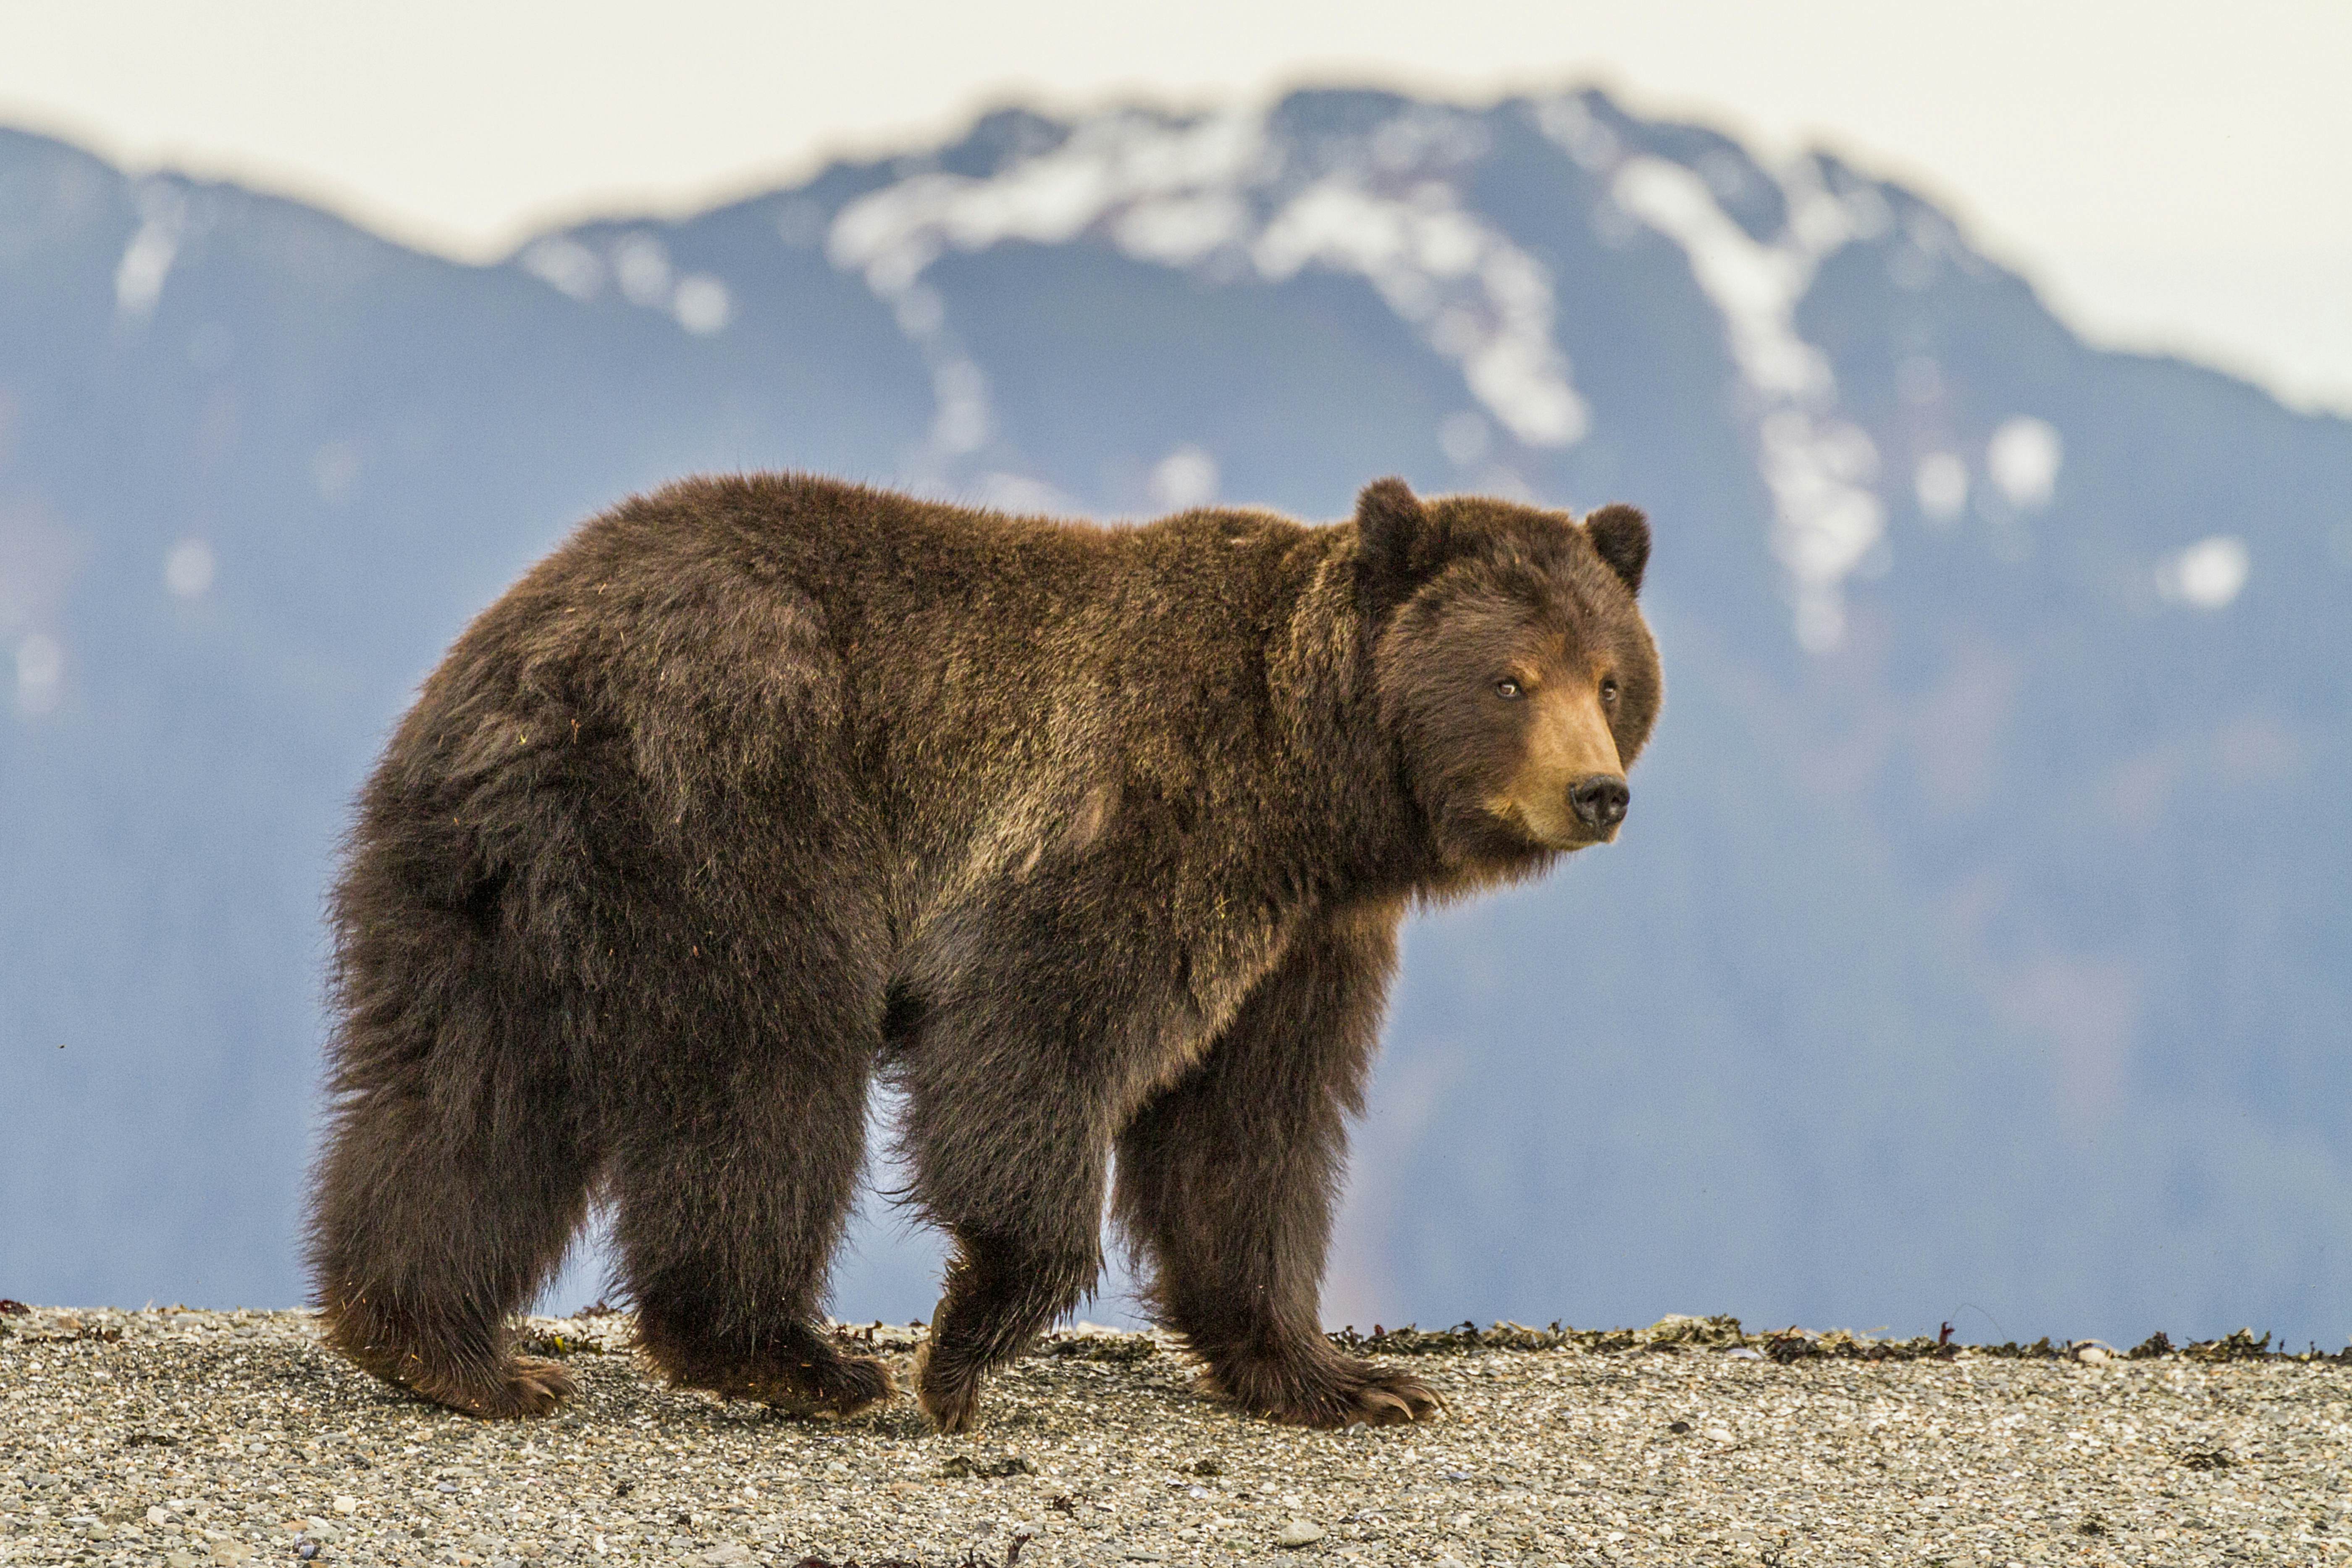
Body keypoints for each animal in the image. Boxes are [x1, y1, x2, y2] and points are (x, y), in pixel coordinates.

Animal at [303, 470, 1665, 1439]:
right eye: (1509, 678)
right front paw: (962, 1348)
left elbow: (1251, 1132)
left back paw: (445, 1347)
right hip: (729, 797)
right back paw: (787, 1355)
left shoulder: (1307, 937)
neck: (1316, 788)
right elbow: (1035, 1037)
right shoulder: (1144, 807)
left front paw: (1344, 1376)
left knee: (464, 1093)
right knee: (763, 1074)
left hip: (480, 888)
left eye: (1612, 676)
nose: (1597, 792)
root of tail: (526, 655)